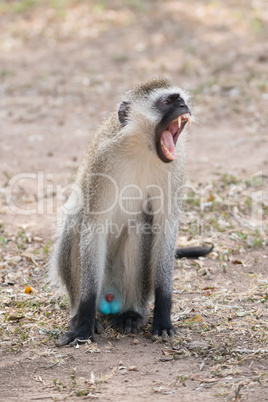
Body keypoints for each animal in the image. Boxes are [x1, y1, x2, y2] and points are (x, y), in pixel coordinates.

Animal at [50, 77, 213, 344]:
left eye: (180, 99)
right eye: (167, 101)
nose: (183, 106)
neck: (142, 149)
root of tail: (109, 297)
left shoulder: (176, 165)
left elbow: (165, 228)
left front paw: (163, 316)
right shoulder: (103, 160)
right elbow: (93, 227)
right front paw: (83, 324)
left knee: (139, 226)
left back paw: (131, 313)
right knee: (76, 223)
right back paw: (82, 314)